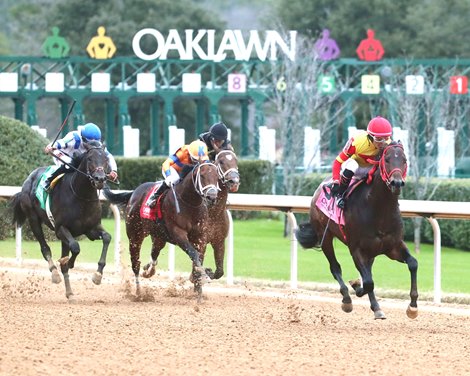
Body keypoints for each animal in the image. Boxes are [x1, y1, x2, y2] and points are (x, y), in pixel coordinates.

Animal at [9, 141, 112, 300]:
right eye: (89, 159)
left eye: (106, 159)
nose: (100, 179)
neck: (82, 197)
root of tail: (28, 179)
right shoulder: (60, 229)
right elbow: (75, 247)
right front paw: (69, 263)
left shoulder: (91, 229)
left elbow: (107, 237)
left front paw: (98, 275)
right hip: (33, 219)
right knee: (45, 248)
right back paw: (55, 273)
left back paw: (69, 292)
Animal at [102, 160, 218, 302]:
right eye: (202, 175)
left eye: (217, 176)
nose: (212, 196)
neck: (189, 203)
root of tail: (134, 192)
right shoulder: (178, 234)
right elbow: (194, 254)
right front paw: (205, 276)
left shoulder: (200, 237)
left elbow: (198, 259)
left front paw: (199, 291)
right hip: (135, 236)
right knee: (135, 263)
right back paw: (139, 293)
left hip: (159, 237)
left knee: (154, 255)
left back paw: (148, 270)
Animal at [296, 142, 416, 318]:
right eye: (387, 159)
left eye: (404, 160)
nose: (397, 183)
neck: (379, 211)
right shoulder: (357, 249)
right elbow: (368, 282)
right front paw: (358, 289)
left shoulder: (393, 246)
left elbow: (413, 264)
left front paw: (413, 307)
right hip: (325, 236)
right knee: (335, 268)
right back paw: (347, 299)